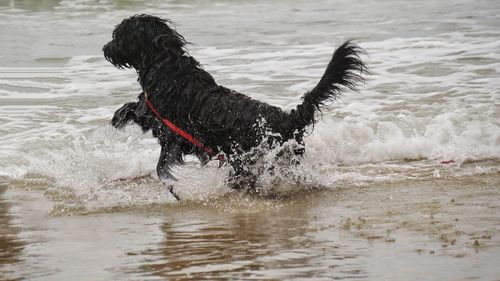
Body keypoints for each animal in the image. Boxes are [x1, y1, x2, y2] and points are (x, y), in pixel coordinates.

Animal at [103, 14, 366, 195]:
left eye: (117, 36)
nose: (105, 49)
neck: (167, 66)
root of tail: (289, 118)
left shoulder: (171, 136)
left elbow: (161, 168)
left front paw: (175, 190)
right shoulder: (154, 118)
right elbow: (130, 108)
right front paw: (116, 120)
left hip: (249, 161)